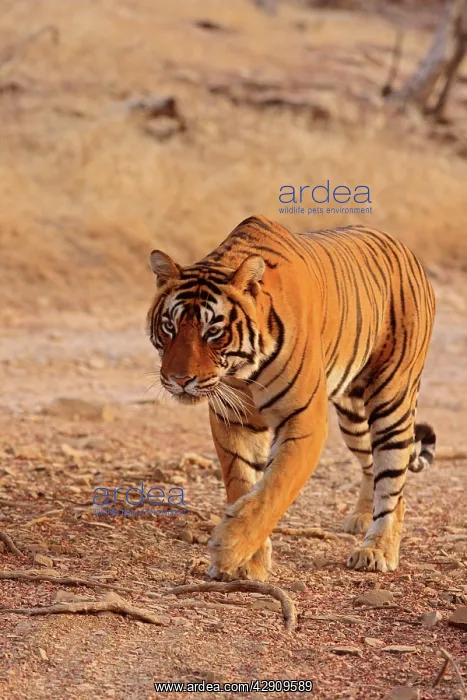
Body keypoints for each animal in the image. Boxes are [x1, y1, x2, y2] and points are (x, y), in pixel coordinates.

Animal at [146, 215, 436, 581]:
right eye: (169, 327)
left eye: (213, 331)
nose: (180, 380)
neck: (242, 369)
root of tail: (407, 251)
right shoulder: (233, 418)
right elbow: (242, 481)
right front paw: (249, 561)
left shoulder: (304, 420)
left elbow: (274, 488)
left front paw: (230, 547)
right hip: (353, 417)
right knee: (376, 468)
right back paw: (361, 519)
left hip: (391, 402)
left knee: (393, 477)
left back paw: (377, 549)